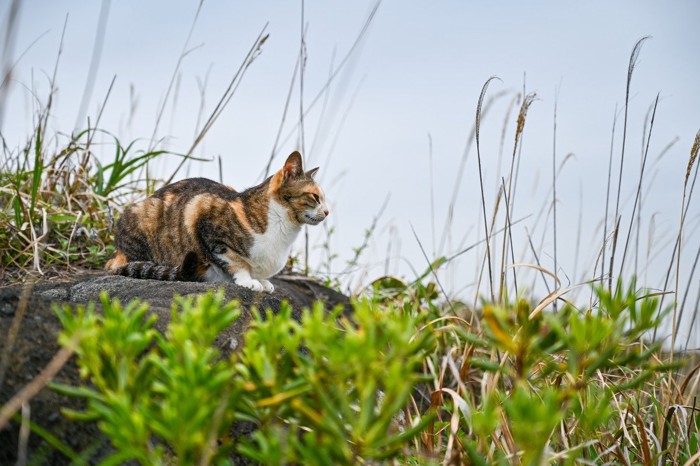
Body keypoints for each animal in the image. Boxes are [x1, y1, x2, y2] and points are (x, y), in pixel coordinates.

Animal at [105, 152, 330, 292]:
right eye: (315, 197)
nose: (328, 212)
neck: (283, 229)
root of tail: (116, 252)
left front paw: (262, 281)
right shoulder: (202, 214)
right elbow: (235, 261)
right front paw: (249, 281)